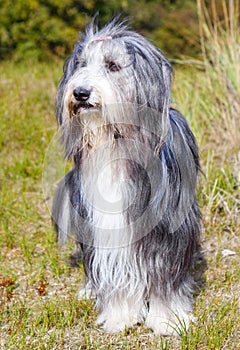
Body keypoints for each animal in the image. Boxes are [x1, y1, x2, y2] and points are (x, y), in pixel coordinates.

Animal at [52, 17, 201, 336]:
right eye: (81, 64)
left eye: (112, 65)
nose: (80, 93)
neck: (115, 141)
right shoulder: (104, 226)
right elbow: (113, 273)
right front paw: (120, 316)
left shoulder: (166, 232)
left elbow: (164, 278)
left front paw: (167, 319)